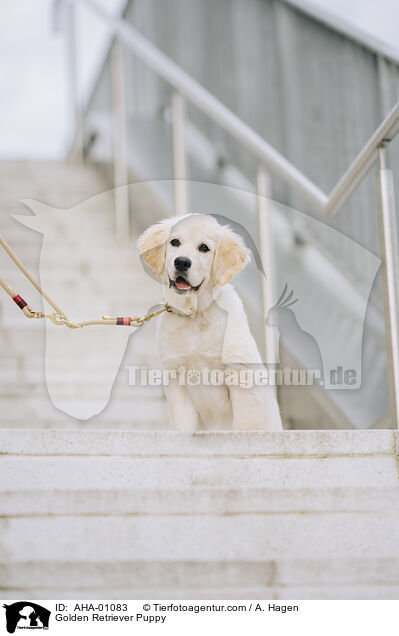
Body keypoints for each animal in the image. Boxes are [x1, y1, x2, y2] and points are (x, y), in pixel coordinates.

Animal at [139, 215, 282, 432]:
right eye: (174, 242)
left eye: (204, 248)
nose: (181, 262)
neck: (195, 315)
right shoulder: (176, 378)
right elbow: (182, 426)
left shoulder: (240, 373)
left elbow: (243, 425)